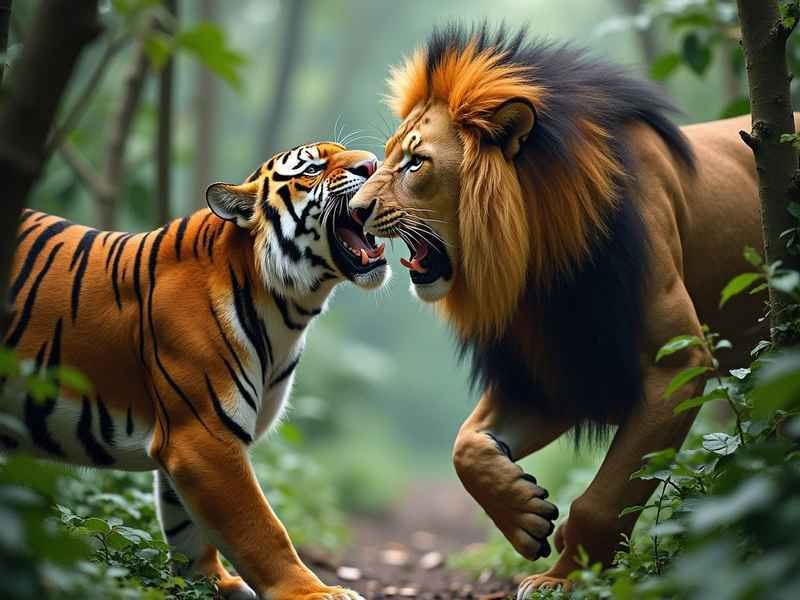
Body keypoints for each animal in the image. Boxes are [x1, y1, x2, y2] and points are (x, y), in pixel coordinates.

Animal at [0, 141, 389, 600]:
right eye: (312, 169)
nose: (372, 164)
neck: (288, 311)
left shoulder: (188, 438)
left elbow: (186, 524)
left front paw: (209, 582)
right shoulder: (203, 433)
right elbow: (260, 527)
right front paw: (313, 591)